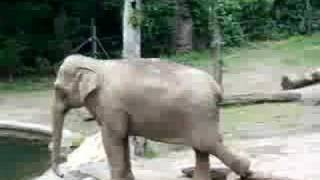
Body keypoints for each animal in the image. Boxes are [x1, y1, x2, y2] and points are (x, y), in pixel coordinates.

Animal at [51, 54, 251, 180]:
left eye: (58, 89)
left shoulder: (111, 106)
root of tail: (216, 87)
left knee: (207, 143)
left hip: (200, 113)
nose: (62, 174)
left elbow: (112, 139)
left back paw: (247, 170)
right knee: (202, 148)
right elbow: (122, 139)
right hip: (199, 115)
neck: (96, 64)